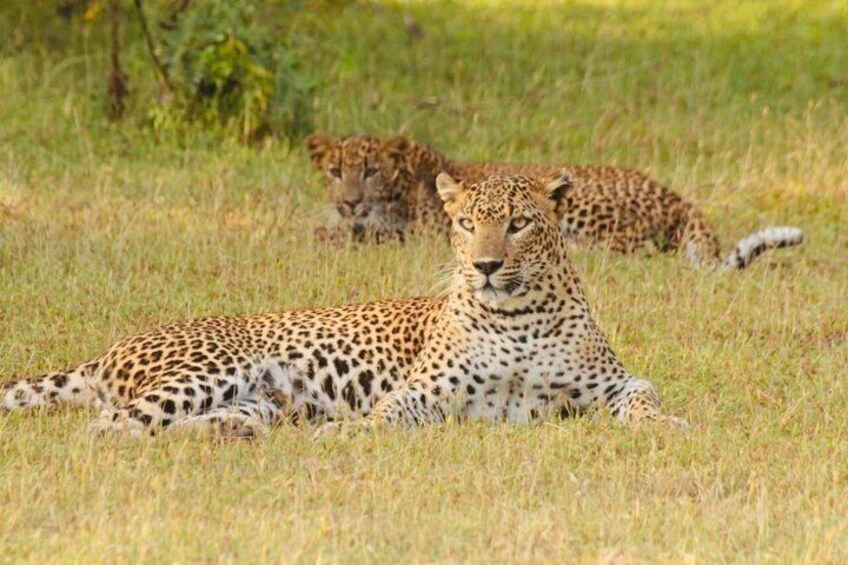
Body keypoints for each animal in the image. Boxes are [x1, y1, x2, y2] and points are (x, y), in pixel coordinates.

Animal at [1, 173, 684, 437]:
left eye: (517, 224)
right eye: (466, 224)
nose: (485, 266)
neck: (518, 317)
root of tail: (104, 353)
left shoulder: (612, 382)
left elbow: (646, 396)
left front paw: (667, 425)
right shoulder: (425, 392)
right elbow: (386, 415)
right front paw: (349, 432)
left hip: (257, 400)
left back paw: (233, 434)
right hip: (211, 368)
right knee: (109, 426)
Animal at [307, 134, 803, 270]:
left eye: (371, 171)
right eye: (335, 171)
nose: (350, 202)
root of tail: (678, 197)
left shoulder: (419, 232)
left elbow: (366, 234)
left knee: (630, 248)